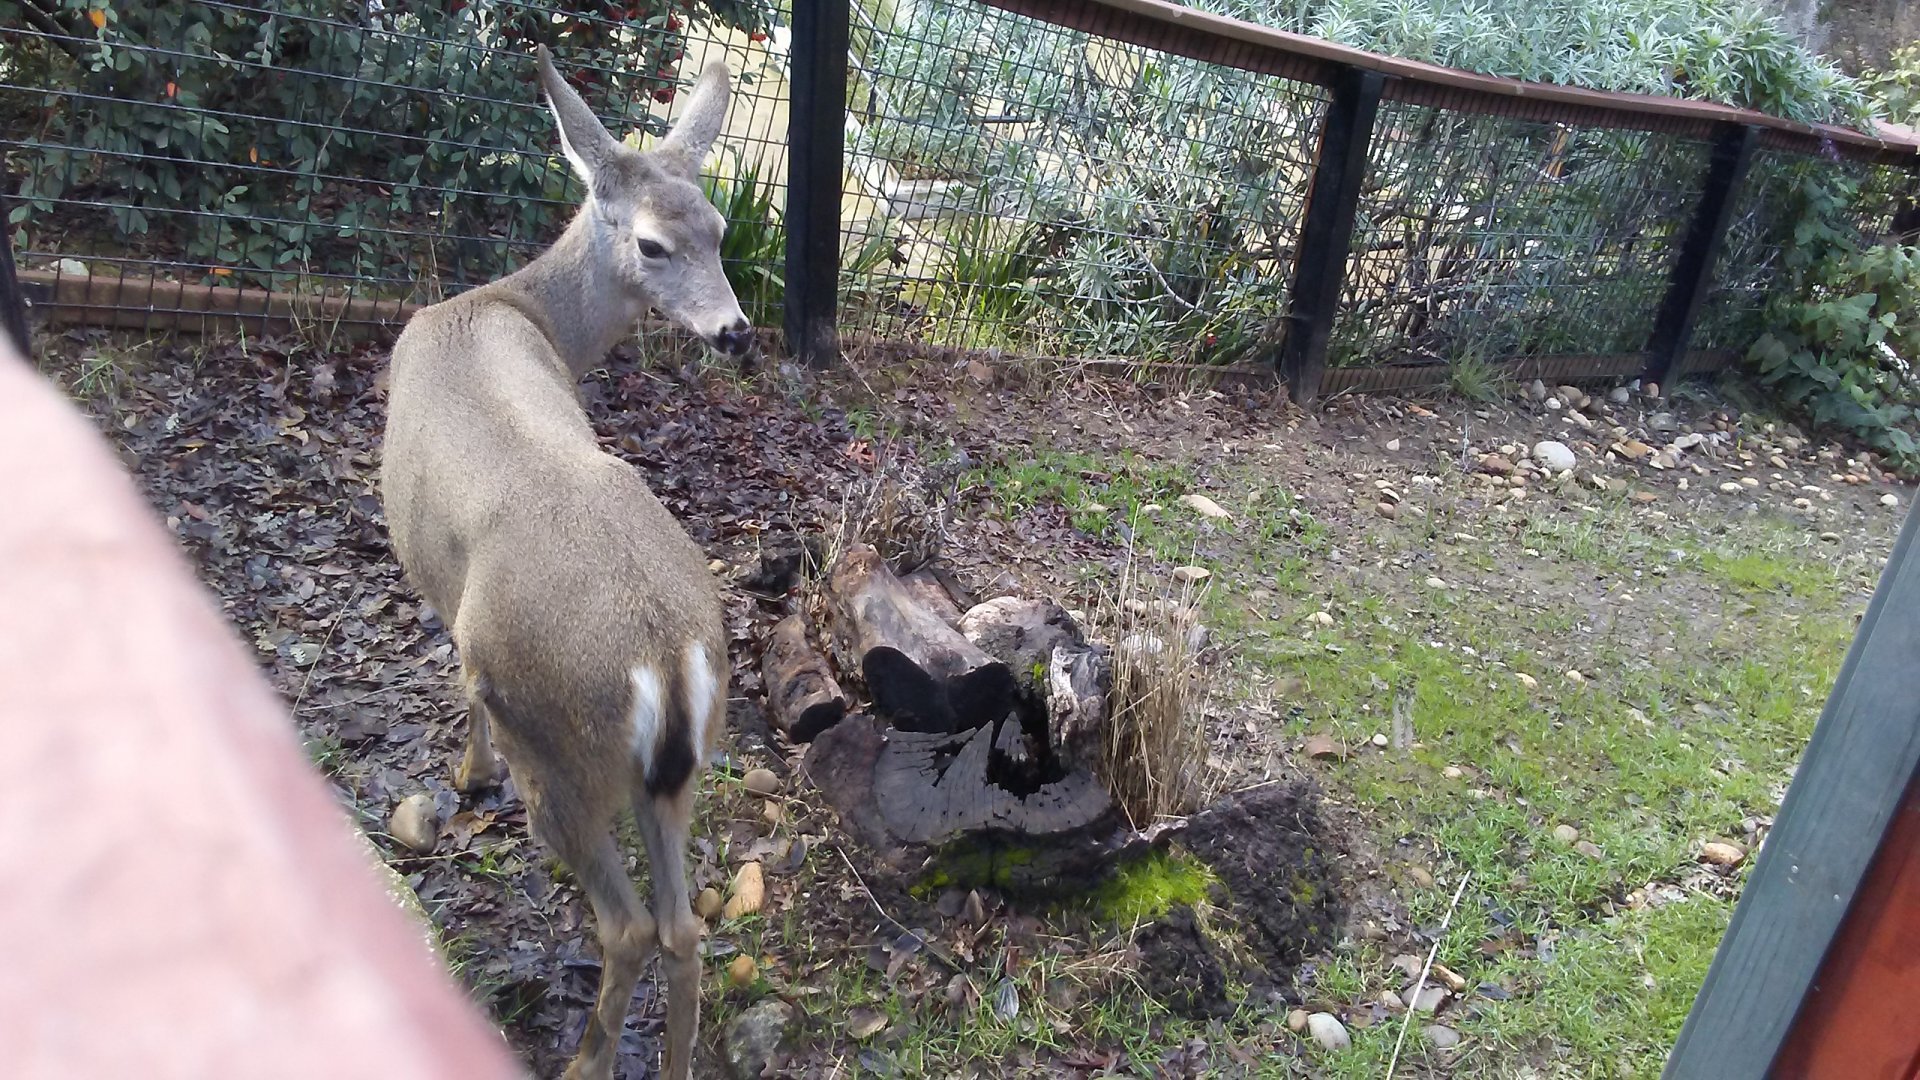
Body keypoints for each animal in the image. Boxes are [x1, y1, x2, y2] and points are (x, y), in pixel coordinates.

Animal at [378, 46, 752, 1080]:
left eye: (719, 230)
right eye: (661, 243)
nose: (738, 331)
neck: (508, 306)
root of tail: (664, 657)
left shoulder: (444, 593)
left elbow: (454, 676)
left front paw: (465, 775)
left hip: (557, 744)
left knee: (626, 926)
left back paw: (585, 1059)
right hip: (680, 766)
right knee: (685, 928)